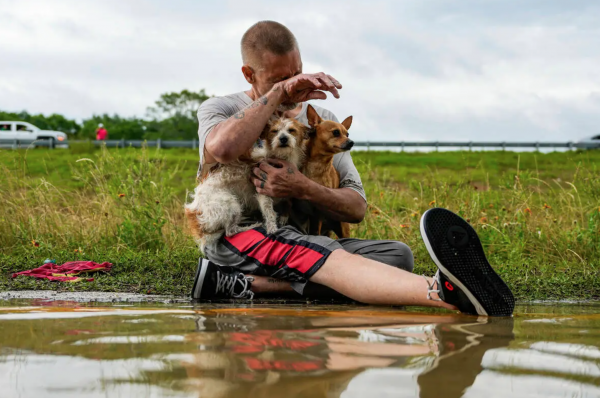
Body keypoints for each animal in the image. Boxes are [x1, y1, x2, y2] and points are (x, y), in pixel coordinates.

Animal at [185, 116, 310, 250]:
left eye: (291, 130)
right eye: (274, 131)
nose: (283, 138)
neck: (281, 157)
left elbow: (288, 201)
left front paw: (284, 216)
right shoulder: (263, 191)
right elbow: (269, 212)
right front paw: (272, 228)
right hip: (231, 204)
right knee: (230, 231)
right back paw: (251, 226)